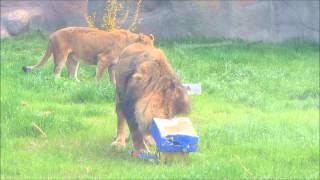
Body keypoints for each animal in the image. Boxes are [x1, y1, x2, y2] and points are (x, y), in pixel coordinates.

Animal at [21, 27, 154, 82]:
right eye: (148, 46)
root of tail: (51, 35)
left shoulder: (113, 64)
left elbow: (113, 78)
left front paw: (113, 87)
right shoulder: (103, 58)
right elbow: (99, 75)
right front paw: (98, 86)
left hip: (73, 60)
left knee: (72, 75)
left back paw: (77, 84)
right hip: (61, 55)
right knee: (56, 72)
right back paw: (58, 82)